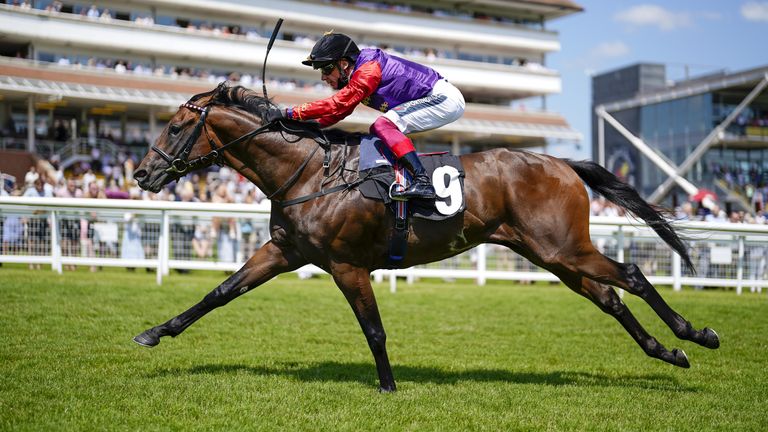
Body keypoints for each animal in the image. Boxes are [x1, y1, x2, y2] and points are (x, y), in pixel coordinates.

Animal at [130, 83, 720, 392]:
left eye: (176, 127)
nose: (141, 174)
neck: (310, 174)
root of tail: (562, 163)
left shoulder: (347, 266)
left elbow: (374, 330)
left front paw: (389, 387)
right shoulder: (284, 251)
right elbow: (220, 292)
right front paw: (155, 332)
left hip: (562, 247)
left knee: (633, 274)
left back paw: (696, 334)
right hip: (552, 255)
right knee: (610, 297)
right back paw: (667, 352)